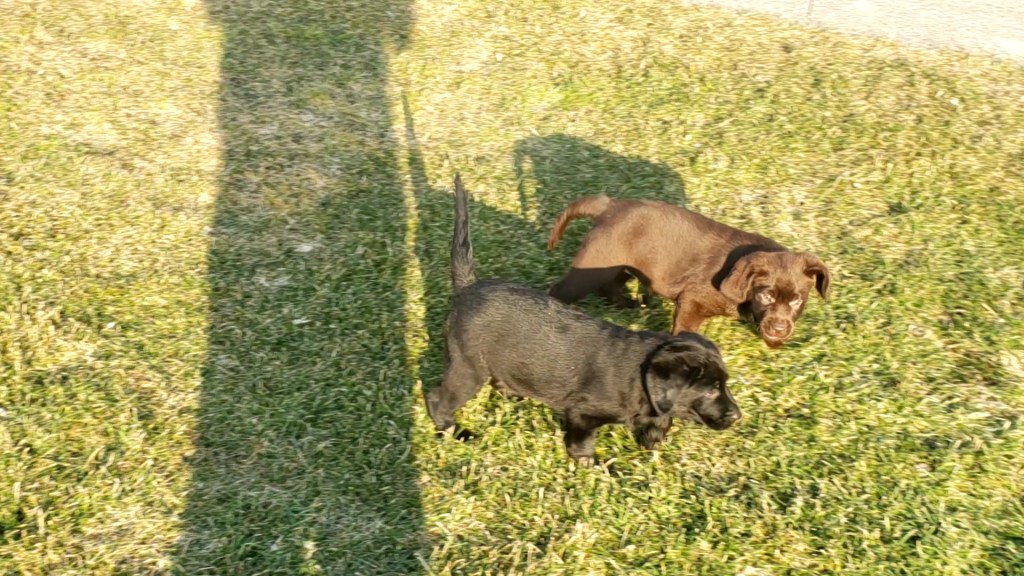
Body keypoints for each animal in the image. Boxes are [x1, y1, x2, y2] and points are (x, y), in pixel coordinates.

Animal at [424, 175, 741, 463]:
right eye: (710, 391)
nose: (737, 416)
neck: (639, 375)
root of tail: (467, 286)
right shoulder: (582, 414)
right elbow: (583, 442)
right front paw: (593, 465)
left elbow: (661, 417)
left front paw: (652, 439)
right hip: (468, 366)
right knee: (437, 400)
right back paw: (454, 432)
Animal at [547, 195, 830, 348]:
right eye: (766, 296)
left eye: (796, 301)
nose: (780, 329)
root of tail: (609, 205)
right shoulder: (693, 302)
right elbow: (687, 332)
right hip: (591, 268)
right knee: (559, 290)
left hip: (619, 265)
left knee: (611, 284)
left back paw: (628, 303)